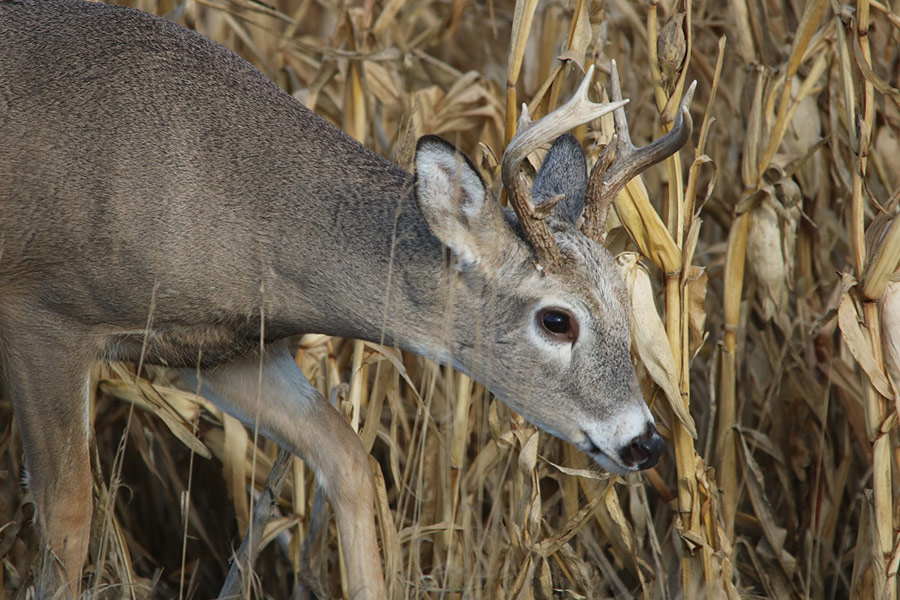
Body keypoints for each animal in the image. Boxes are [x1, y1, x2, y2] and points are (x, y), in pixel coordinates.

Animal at [0, 0, 694, 597]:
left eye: (625, 301)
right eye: (556, 320)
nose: (646, 442)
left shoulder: (216, 350)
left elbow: (352, 462)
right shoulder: (43, 317)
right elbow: (67, 520)